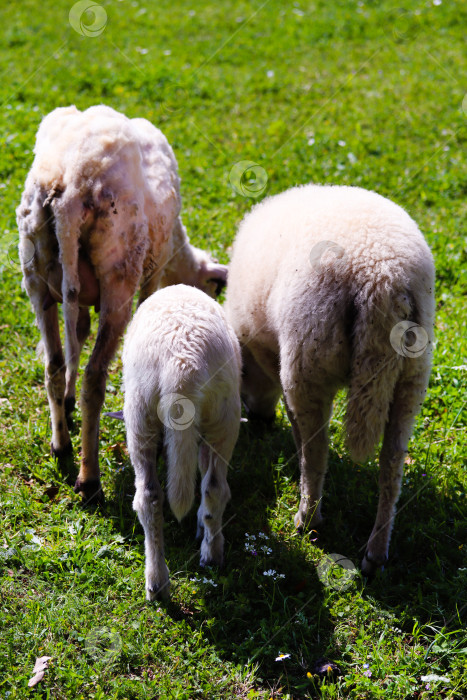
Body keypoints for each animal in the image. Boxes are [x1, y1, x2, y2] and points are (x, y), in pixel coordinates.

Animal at [14, 105, 227, 504]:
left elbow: (78, 333)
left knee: (54, 363)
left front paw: (66, 403)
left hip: (35, 273)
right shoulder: (152, 271)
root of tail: (68, 190)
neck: (179, 252)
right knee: (94, 377)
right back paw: (89, 478)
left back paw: (61, 444)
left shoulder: (78, 293)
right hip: (118, 275)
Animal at [121, 282, 241, 600]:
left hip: (139, 414)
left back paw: (157, 581)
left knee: (148, 497)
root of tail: (182, 366)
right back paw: (211, 555)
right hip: (224, 415)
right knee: (214, 487)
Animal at [225, 183, 436, 576]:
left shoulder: (278, 358)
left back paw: (308, 517)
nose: (260, 421)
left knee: (317, 450)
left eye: (242, 375)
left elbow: (297, 427)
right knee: (391, 463)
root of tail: (381, 276)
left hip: (307, 361)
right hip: (412, 375)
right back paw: (376, 553)